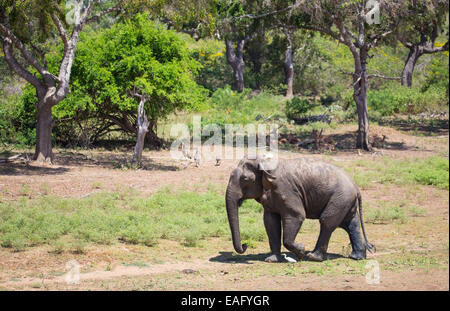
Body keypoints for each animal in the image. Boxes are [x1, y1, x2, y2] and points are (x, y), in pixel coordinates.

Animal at [225, 156, 376, 264]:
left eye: (245, 179)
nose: (244, 245)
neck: (263, 160)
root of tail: (356, 187)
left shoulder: (286, 189)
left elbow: (296, 215)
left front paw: (301, 252)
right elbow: (270, 221)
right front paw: (271, 260)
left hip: (340, 198)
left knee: (327, 221)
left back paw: (313, 257)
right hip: (346, 201)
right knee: (350, 224)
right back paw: (356, 257)